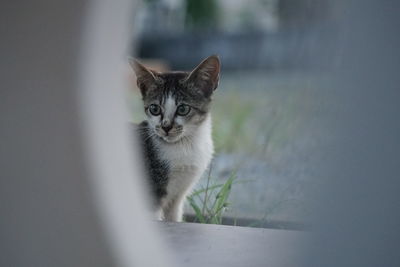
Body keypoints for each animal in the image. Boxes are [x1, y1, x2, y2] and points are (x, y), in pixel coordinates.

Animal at [130, 55, 220, 223]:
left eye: (183, 109)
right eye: (154, 109)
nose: (165, 127)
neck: (184, 146)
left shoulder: (177, 197)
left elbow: (174, 217)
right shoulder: (151, 196)